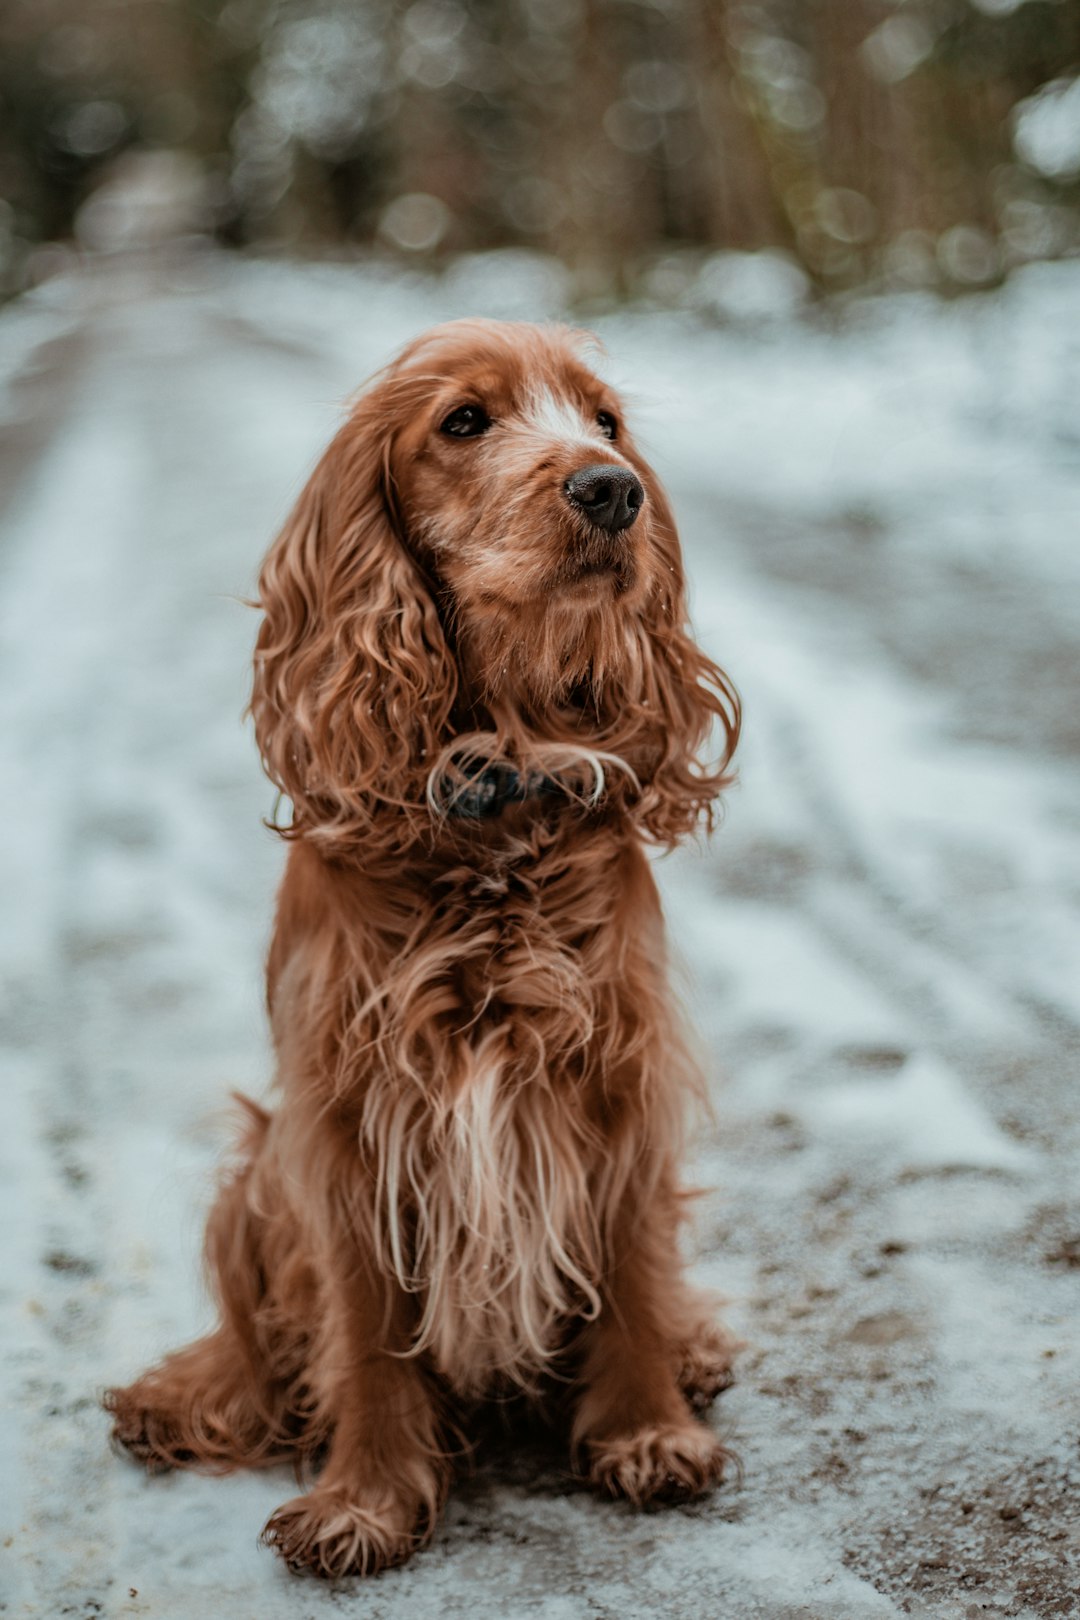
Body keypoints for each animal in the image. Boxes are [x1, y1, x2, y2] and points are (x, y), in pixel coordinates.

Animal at [103, 322, 744, 1574]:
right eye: (464, 421)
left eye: (605, 420)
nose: (615, 490)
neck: (494, 810)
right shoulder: (350, 1118)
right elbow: (362, 1327)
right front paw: (363, 1501)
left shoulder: (619, 1073)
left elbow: (632, 1270)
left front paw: (648, 1430)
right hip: (254, 1173)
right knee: (256, 1345)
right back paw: (187, 1397)